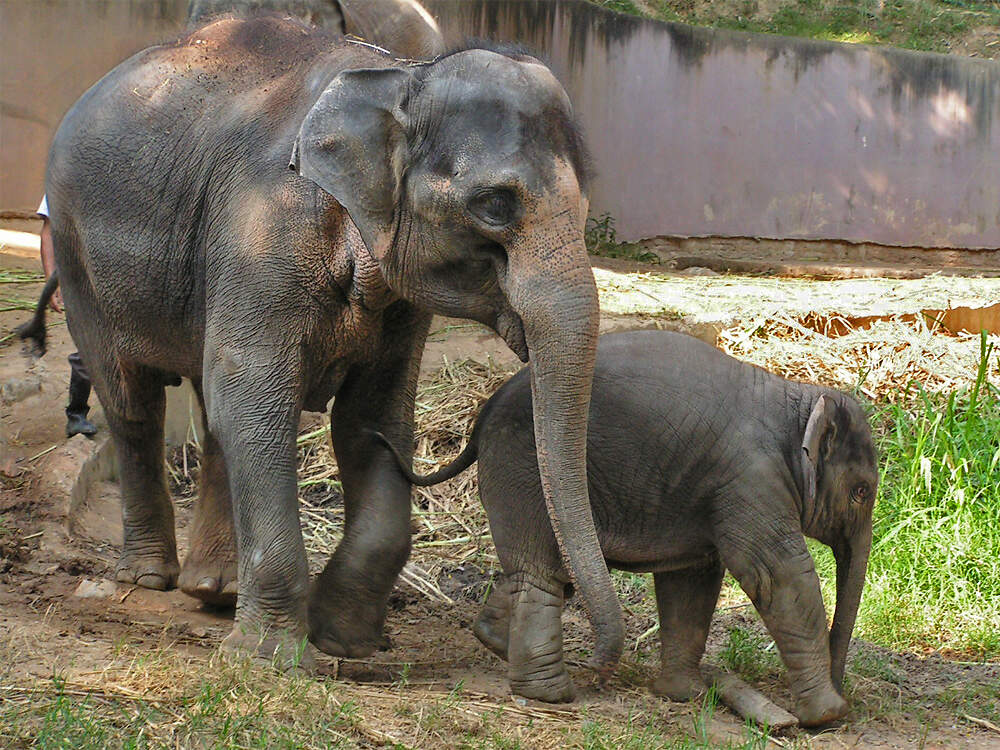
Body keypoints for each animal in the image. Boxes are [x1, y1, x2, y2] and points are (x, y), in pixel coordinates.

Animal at [47, 14, 624, 676]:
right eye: (494, 206)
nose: (594, 665)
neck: (403, 77)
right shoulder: (261, 229)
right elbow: (254, 394)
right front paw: (268, 658)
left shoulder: (397, 301)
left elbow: (367, 414)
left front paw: (340, 638)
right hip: (75, 252)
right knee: (133, 401)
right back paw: (149, 578)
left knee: (211, 411)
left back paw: (214, 590)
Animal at [382, 330, 876, 728]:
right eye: (861, 492)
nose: (844, 693)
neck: (799, 400)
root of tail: (483, 415)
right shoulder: (752, 480)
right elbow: (778, 576)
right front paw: (827, 716)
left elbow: (691, 578)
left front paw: (685, 695)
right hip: (523, 469)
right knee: (542, 574)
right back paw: (549, 693)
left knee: (546, 572)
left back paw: (497, 642)